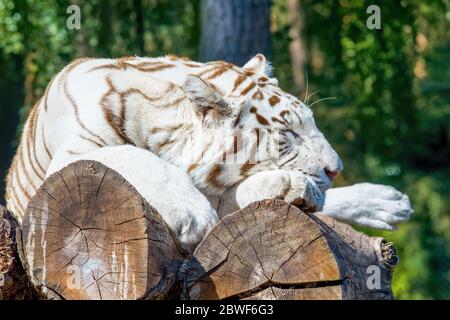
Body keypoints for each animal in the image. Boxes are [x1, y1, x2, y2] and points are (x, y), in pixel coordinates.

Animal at [4, 53, 412, 251]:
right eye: (289, 134)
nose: (336, 169)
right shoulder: (74, 153)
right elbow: (135, 156)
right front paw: (192, 216)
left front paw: (293, 188)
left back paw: (386, 201)